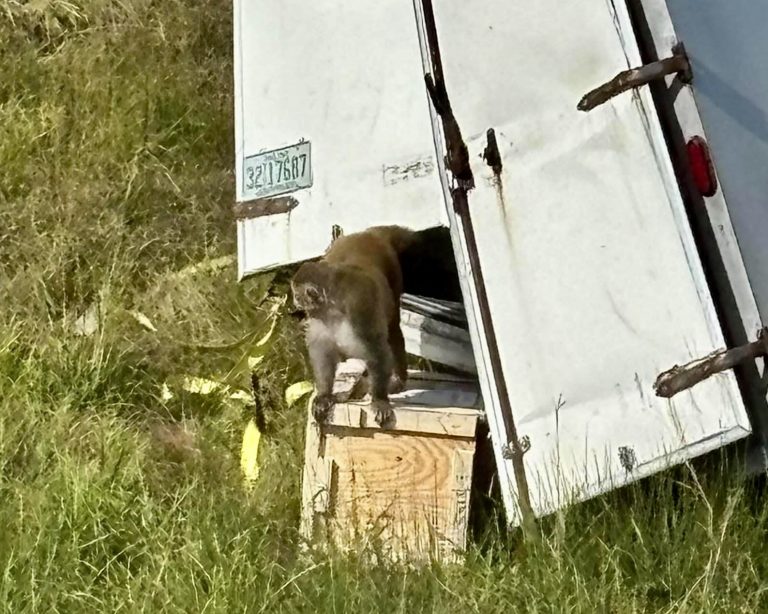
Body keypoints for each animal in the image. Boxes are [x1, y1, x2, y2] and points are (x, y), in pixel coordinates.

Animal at [291, 225, 418, 428]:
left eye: (297, 294)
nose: (295, 301)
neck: (333, 307)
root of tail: (367, 234)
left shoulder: (359, 307)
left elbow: (376, 350)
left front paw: (379, 400)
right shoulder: (319, 318)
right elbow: (322, 352)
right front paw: (324, 395)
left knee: (392, 329)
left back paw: (398, 379)